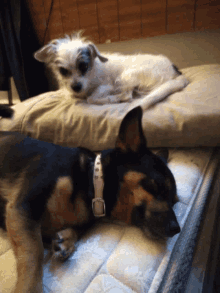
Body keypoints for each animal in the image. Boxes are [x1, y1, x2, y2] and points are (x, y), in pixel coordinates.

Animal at [0, 105, 180, 292]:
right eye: (157, 186)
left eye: (174, 202)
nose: (177, 229)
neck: (89, 184)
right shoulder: (23, 207)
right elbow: (35, 254)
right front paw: (30, 287)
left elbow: (76, 231)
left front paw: (66, 240)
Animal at [34, 32, 189, 107]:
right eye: (63, 71)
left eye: (84, 66)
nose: (76, 87)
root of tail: (175, 72)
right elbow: (73, 96)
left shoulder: (106, 86)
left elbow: (91, 99)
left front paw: (108, 99)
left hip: (125, 76)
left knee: (128, 95)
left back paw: (117, 98)